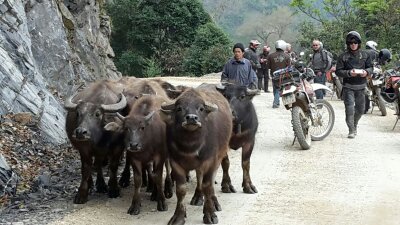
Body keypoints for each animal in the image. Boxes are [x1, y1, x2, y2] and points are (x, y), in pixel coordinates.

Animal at [161, 83, 233, 224]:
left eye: (201, 108)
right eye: (179, 108)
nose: (191, 118)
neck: (190, 145)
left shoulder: (210, 162)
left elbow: (207, 186)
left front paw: (210, 214)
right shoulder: (176, 163)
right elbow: (181, 190)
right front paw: (178, 216)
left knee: (210, 181)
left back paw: (214, 202)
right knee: (199, 177)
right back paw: (198, 196)